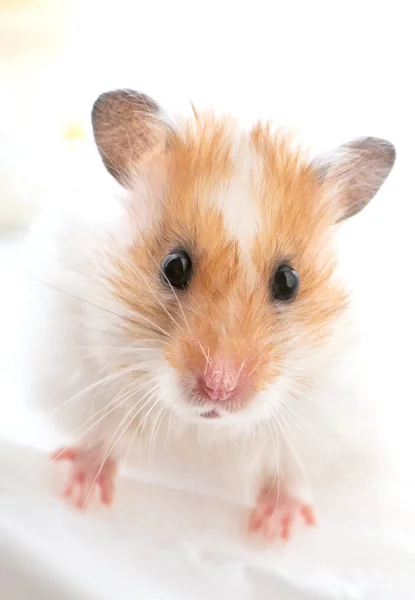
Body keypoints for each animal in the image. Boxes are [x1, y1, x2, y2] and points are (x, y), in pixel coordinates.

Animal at [29, 90, 396, 540]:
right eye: (174, 266)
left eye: (289, 281)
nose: (220, 389)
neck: (206, 429)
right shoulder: (84, 366)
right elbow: (103, 435)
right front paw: (78, 493)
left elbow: (289, 467)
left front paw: (275, 533)